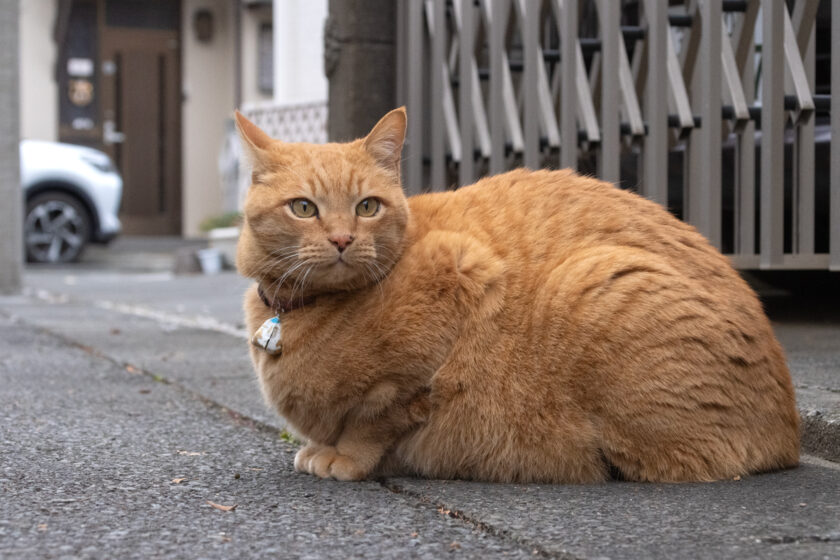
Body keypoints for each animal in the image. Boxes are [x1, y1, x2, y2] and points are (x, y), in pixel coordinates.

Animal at [235, 107, 800, 484]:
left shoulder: (461, 275)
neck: (297, 313)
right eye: (304, 208)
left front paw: (345, 457)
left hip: (596, 283)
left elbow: (376, 417)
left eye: (367, 206)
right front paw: (320, 446)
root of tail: (789, 435)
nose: (341, 239)